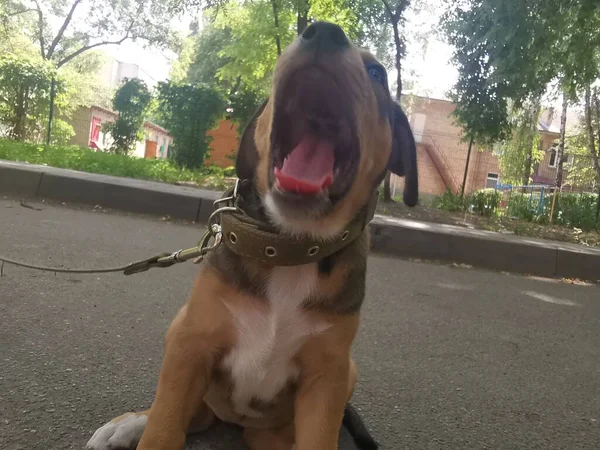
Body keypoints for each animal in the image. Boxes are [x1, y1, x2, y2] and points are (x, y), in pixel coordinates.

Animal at [86, 22, 418, 450]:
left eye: (377, 73)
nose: (324, 31)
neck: (290, 247)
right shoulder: (190, 341)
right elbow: (164, 424)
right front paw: (145, 427)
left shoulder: (328, 373)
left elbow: (318, 435)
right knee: (181, 413)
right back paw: (128, 424)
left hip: (344, 374)